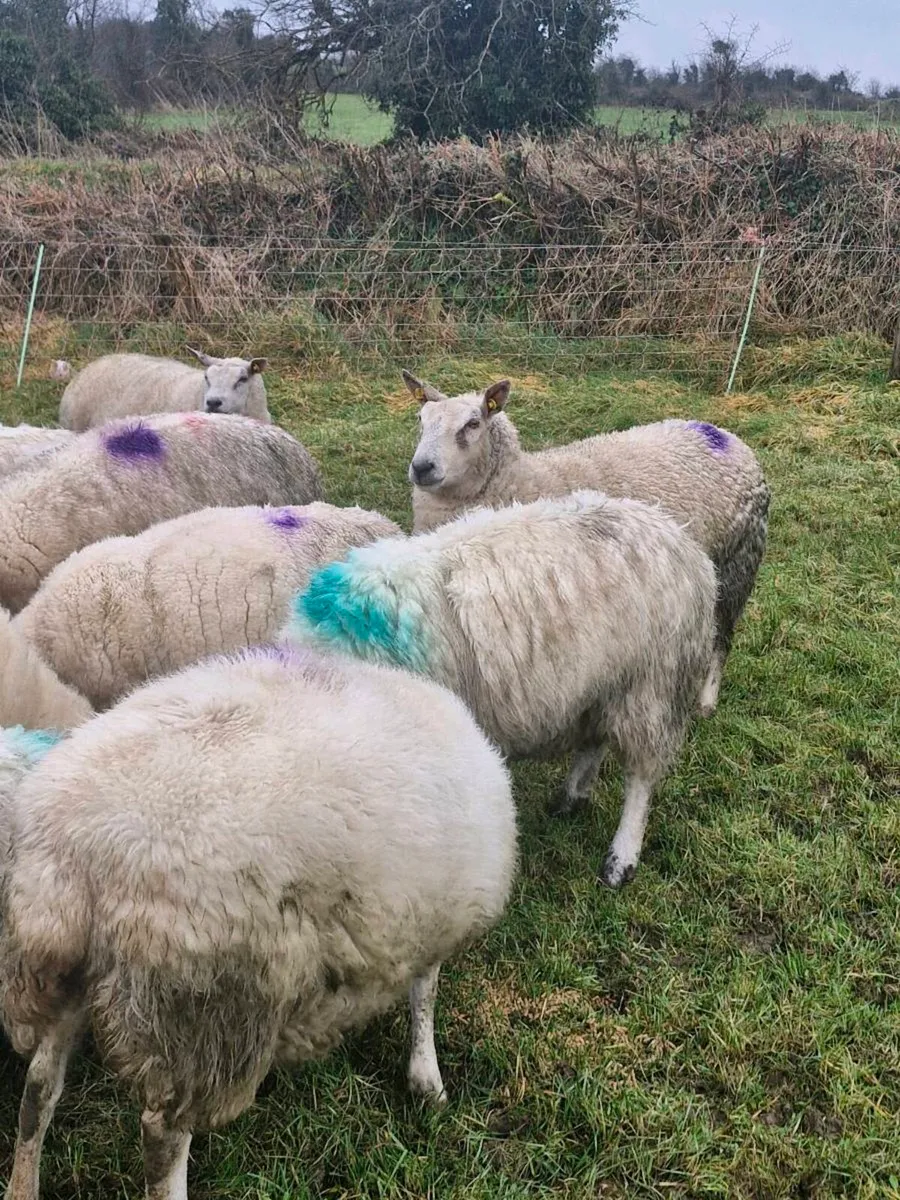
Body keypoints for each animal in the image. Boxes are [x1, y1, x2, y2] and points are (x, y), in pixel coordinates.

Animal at [0, 645, 516, 1200]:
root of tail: (82, 849)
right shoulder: (435, 920)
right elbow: (427, 992)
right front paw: (428, 1079)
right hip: (199, 1010)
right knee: (162, 1139)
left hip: (61, 975)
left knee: (39, 1089)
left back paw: (22, 1185)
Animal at [284, 490, 717, 889]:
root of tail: (680, 537)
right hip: (602, 682)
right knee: (593, 740)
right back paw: (570, 797)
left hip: (653, 684)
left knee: (641, 777)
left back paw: (620, 858)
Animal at [403, 371, 770, 717]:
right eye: (421, 419)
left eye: (473, 423)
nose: (422, 468)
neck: (521, 480)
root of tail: (726, 437)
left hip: (738, 562)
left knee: (722, 639)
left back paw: (706, 700)